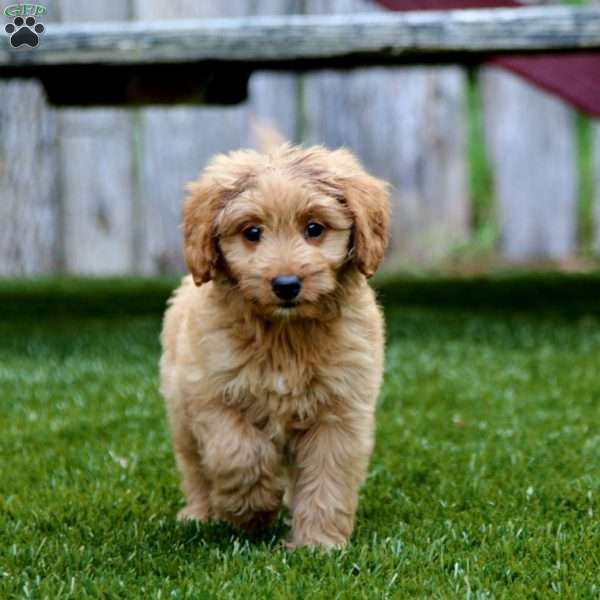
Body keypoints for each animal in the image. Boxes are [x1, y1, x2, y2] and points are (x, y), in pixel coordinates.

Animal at [159, 142, 392, 548]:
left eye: (314, 228)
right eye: (252, 232)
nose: (286, 285)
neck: (285, 336)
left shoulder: (339, 412)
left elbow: (327, 479)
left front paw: (317, 543)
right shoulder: (211, 395)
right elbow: (239, 454)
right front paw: (251, 509)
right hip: (180, 413)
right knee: (195, 468)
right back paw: (200, 514)